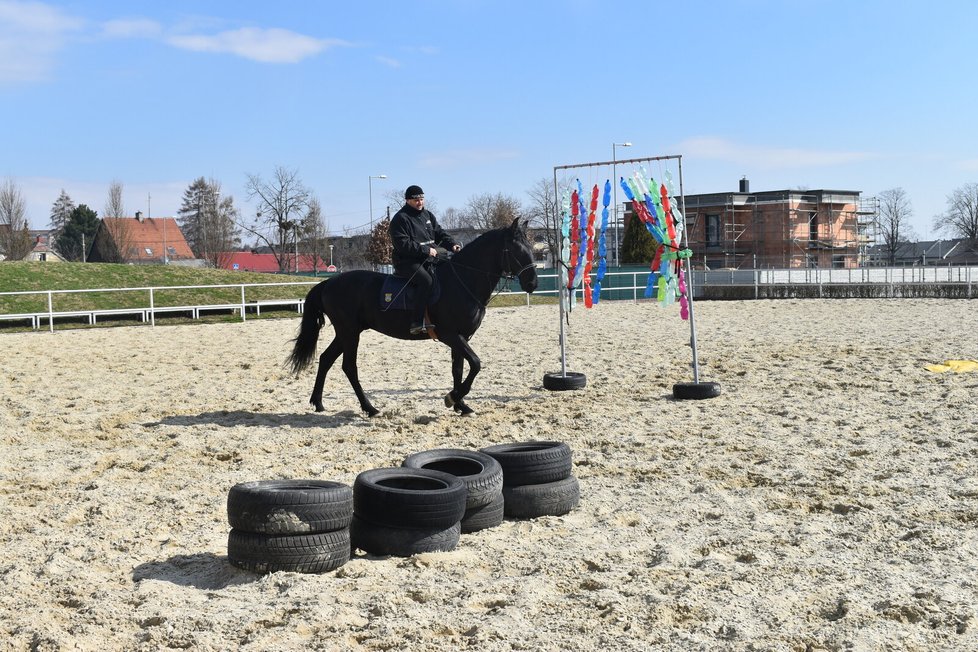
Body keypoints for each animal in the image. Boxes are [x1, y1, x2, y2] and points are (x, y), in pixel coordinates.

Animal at [286, 216, 536, 416]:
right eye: (516, 249)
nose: (532, 283)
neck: (461, 281)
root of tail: (329, 283)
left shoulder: (462, 337)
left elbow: (458, 369)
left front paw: (461, 405)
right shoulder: (450, 335)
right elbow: (475, 363)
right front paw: (452, 398)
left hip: (347, 332)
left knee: (326, 359)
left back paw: (318, 403)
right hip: (349, 333)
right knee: (349, 367)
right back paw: (370, 408)